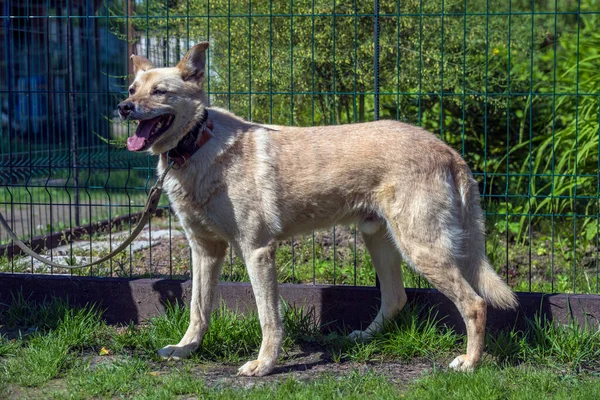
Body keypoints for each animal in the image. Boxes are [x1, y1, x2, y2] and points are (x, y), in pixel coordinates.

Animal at [117, 42, 516, 376]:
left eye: (160, 91)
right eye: (133, 89)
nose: (123, 107)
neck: (196, 145)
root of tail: (447, 150)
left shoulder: (257, 251)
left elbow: (268, 318)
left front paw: (264, 365)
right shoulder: (204, 251)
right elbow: (198, 309)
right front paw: (186, 349)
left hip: (421, 248)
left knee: (475, 304)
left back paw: (470, 362)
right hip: (379, 240)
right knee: (396, 298)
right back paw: (363, 338)